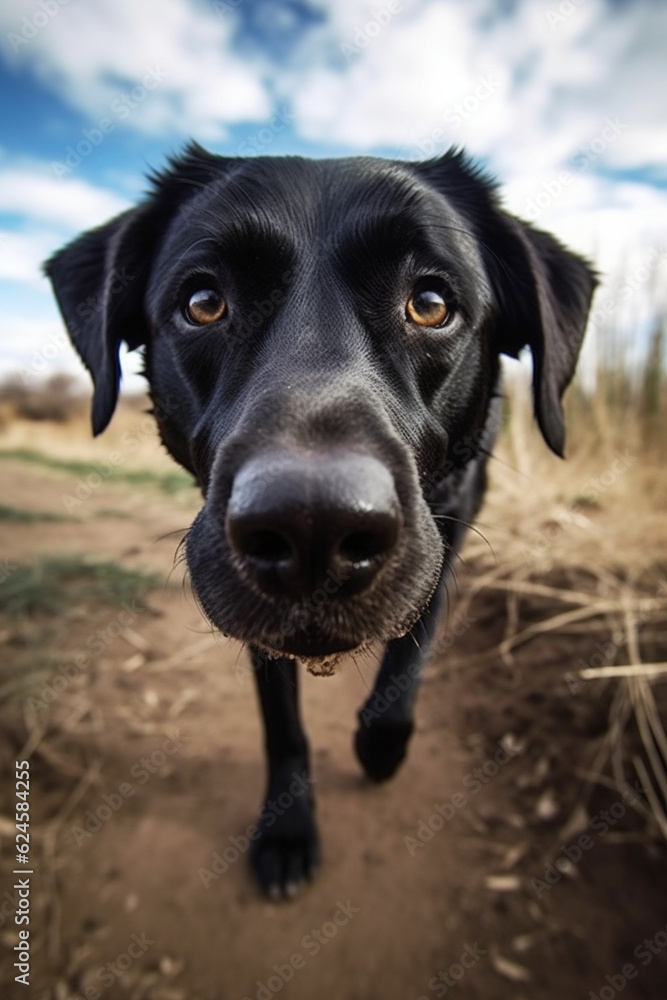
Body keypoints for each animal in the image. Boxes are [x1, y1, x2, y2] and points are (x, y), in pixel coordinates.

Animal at [48, 146, 600, 900]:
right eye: (202, 303)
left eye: (430, 304)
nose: (314, 526)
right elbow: (282, 722)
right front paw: (286, 830)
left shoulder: (448, 526)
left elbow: (410, 649)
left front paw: (380, 745)